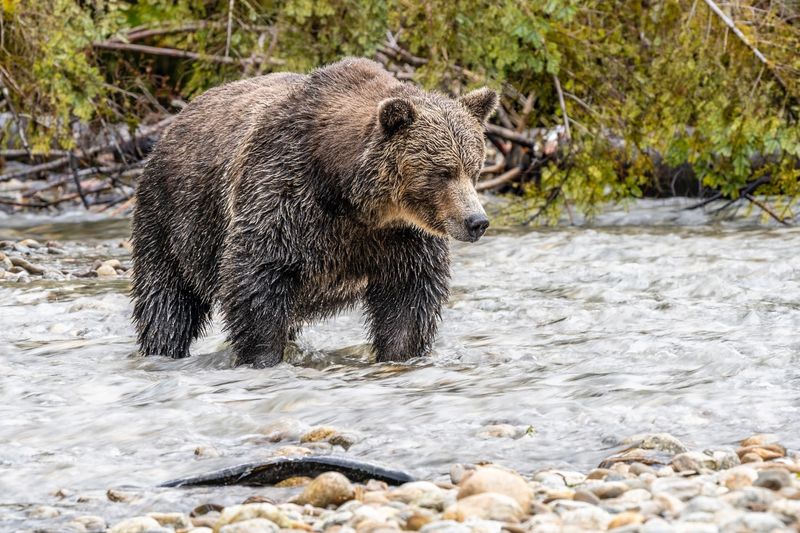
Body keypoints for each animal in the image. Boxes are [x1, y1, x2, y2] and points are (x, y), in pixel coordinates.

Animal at [130, 57, 494, 366]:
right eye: (442, 172)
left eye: (474, 168)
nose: (476, 221)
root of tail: (173, 123)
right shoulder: (283, 197)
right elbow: (256, 282)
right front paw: (262, 356)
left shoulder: (400, 238)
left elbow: (408, 301)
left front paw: (401, 353)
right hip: (174, 219)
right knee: (167, 299)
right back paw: (163, 348)